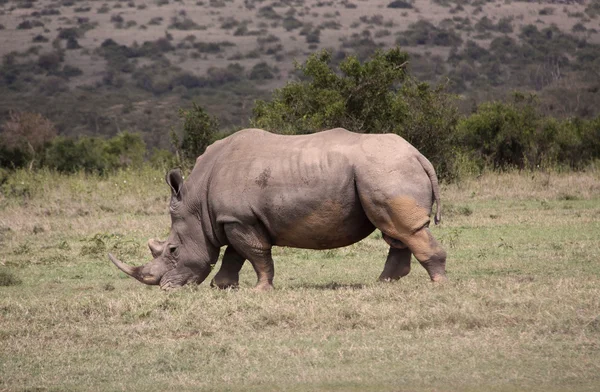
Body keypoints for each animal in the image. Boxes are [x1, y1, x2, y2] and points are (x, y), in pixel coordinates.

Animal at [108, 129, 446, 290]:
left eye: (173, 250)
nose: (166, 289)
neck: (196, 204)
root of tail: (419, 155)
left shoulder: (239, 218)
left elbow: (256, 253)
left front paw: (259, 290)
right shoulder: (233, 218)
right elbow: (236, 253)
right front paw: (222, 287)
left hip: (386, 170)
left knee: (404, 228)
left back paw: (437, 284)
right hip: (384, 170)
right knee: (395, 230)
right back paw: (383, 283)